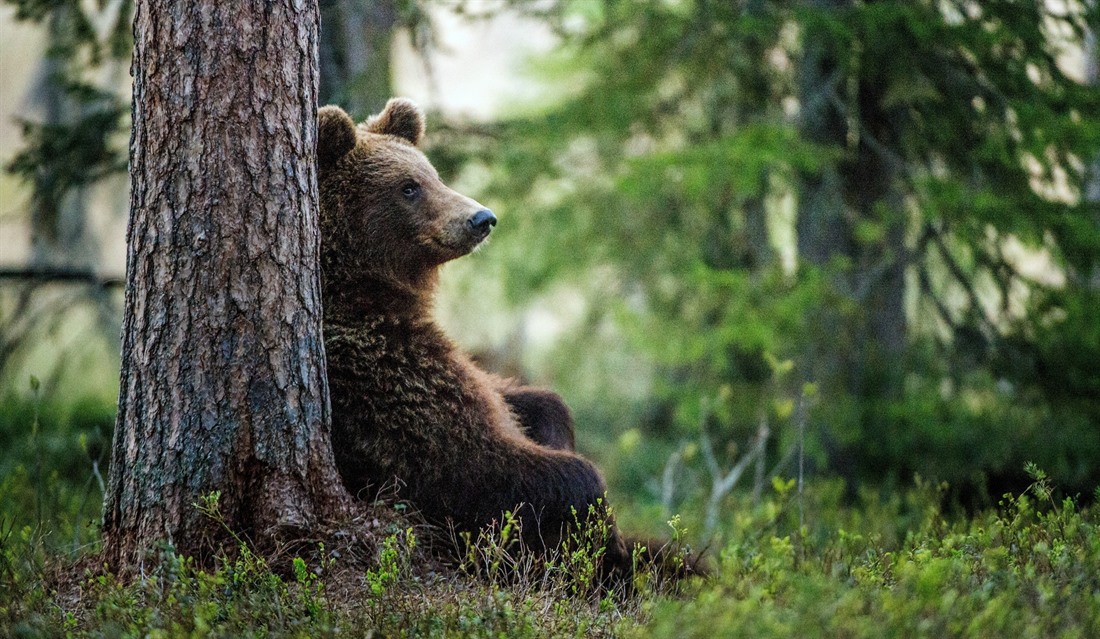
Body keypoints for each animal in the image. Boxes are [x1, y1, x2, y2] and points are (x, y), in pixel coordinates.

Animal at [314, 95, 633, 576]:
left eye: (433, 174)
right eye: (409, 187)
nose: (481, 218)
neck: (366, 291)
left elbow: (529, 401)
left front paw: (552, 421)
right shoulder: (386, 382)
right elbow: (476, 463)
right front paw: (606, 551)